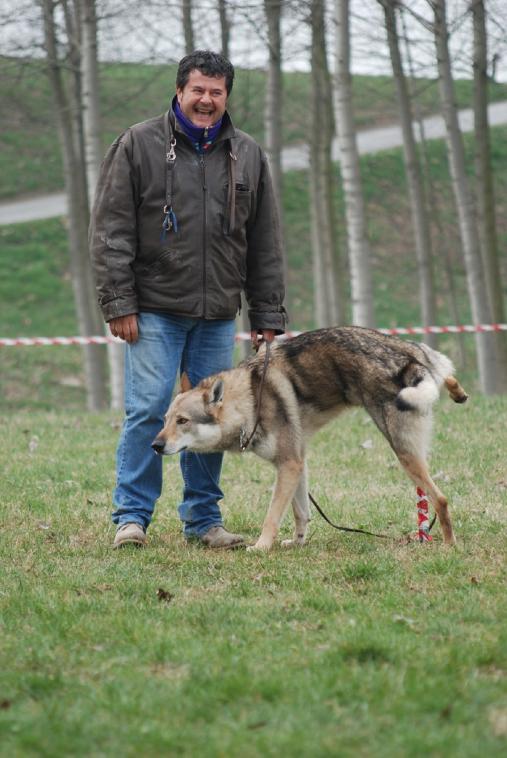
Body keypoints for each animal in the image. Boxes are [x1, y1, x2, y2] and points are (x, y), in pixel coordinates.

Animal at [152, 326, 468, 552]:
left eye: (183, 421)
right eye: (165, 420)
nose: (155, 446)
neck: (250, 401)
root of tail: (409, 357)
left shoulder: (289, 465)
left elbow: (273, 516)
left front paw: (261, 547)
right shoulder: (297, 463)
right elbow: (300, 513)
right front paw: (297, 543)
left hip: (404, 453)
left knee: (441, 499)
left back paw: (449, 546)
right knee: (447, 375)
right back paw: (458, 393)